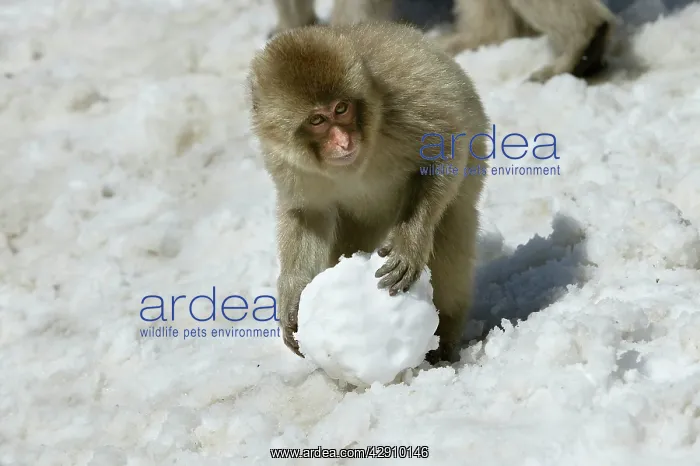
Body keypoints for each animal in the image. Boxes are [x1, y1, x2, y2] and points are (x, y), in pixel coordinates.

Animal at [248, 21, 489, 364]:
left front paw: (408, 244)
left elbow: (446, 147)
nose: (344, 142)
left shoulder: (401, 105)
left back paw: (443, 341)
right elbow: (307, 213)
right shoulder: (283, 158)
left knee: (448, 242)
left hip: (470, 176)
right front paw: (292, 294)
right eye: (317, 120)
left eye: (341, 108)